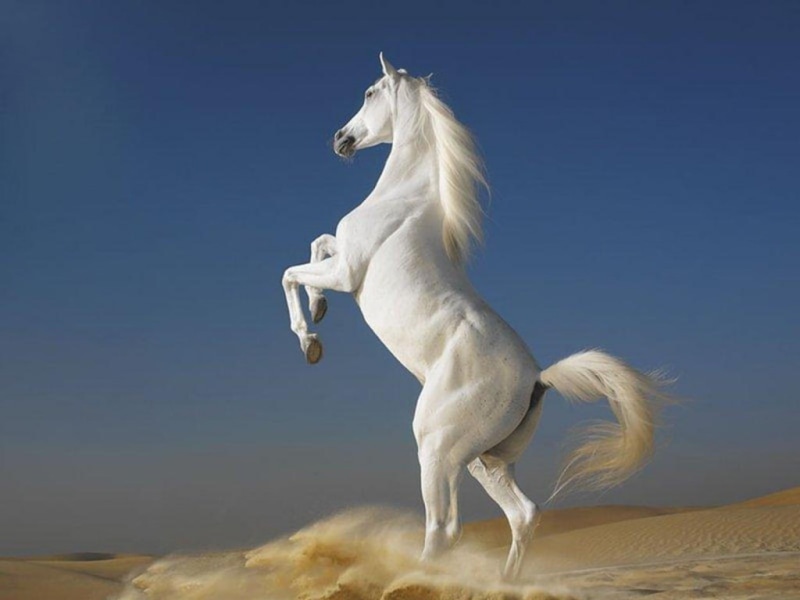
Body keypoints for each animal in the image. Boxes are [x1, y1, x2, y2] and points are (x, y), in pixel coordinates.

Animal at [281, 53, 670, 578]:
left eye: (369, 92)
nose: (340, 138)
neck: (403, 199)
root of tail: (538, 378)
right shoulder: (340, 260)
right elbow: (318, 243)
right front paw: (319, 311)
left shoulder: (347, 273)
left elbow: (292, 272)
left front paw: (311, 340)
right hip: (483, 459)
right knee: (523, 515)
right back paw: (504, 581)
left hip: (437, 449)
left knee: (445, 529)